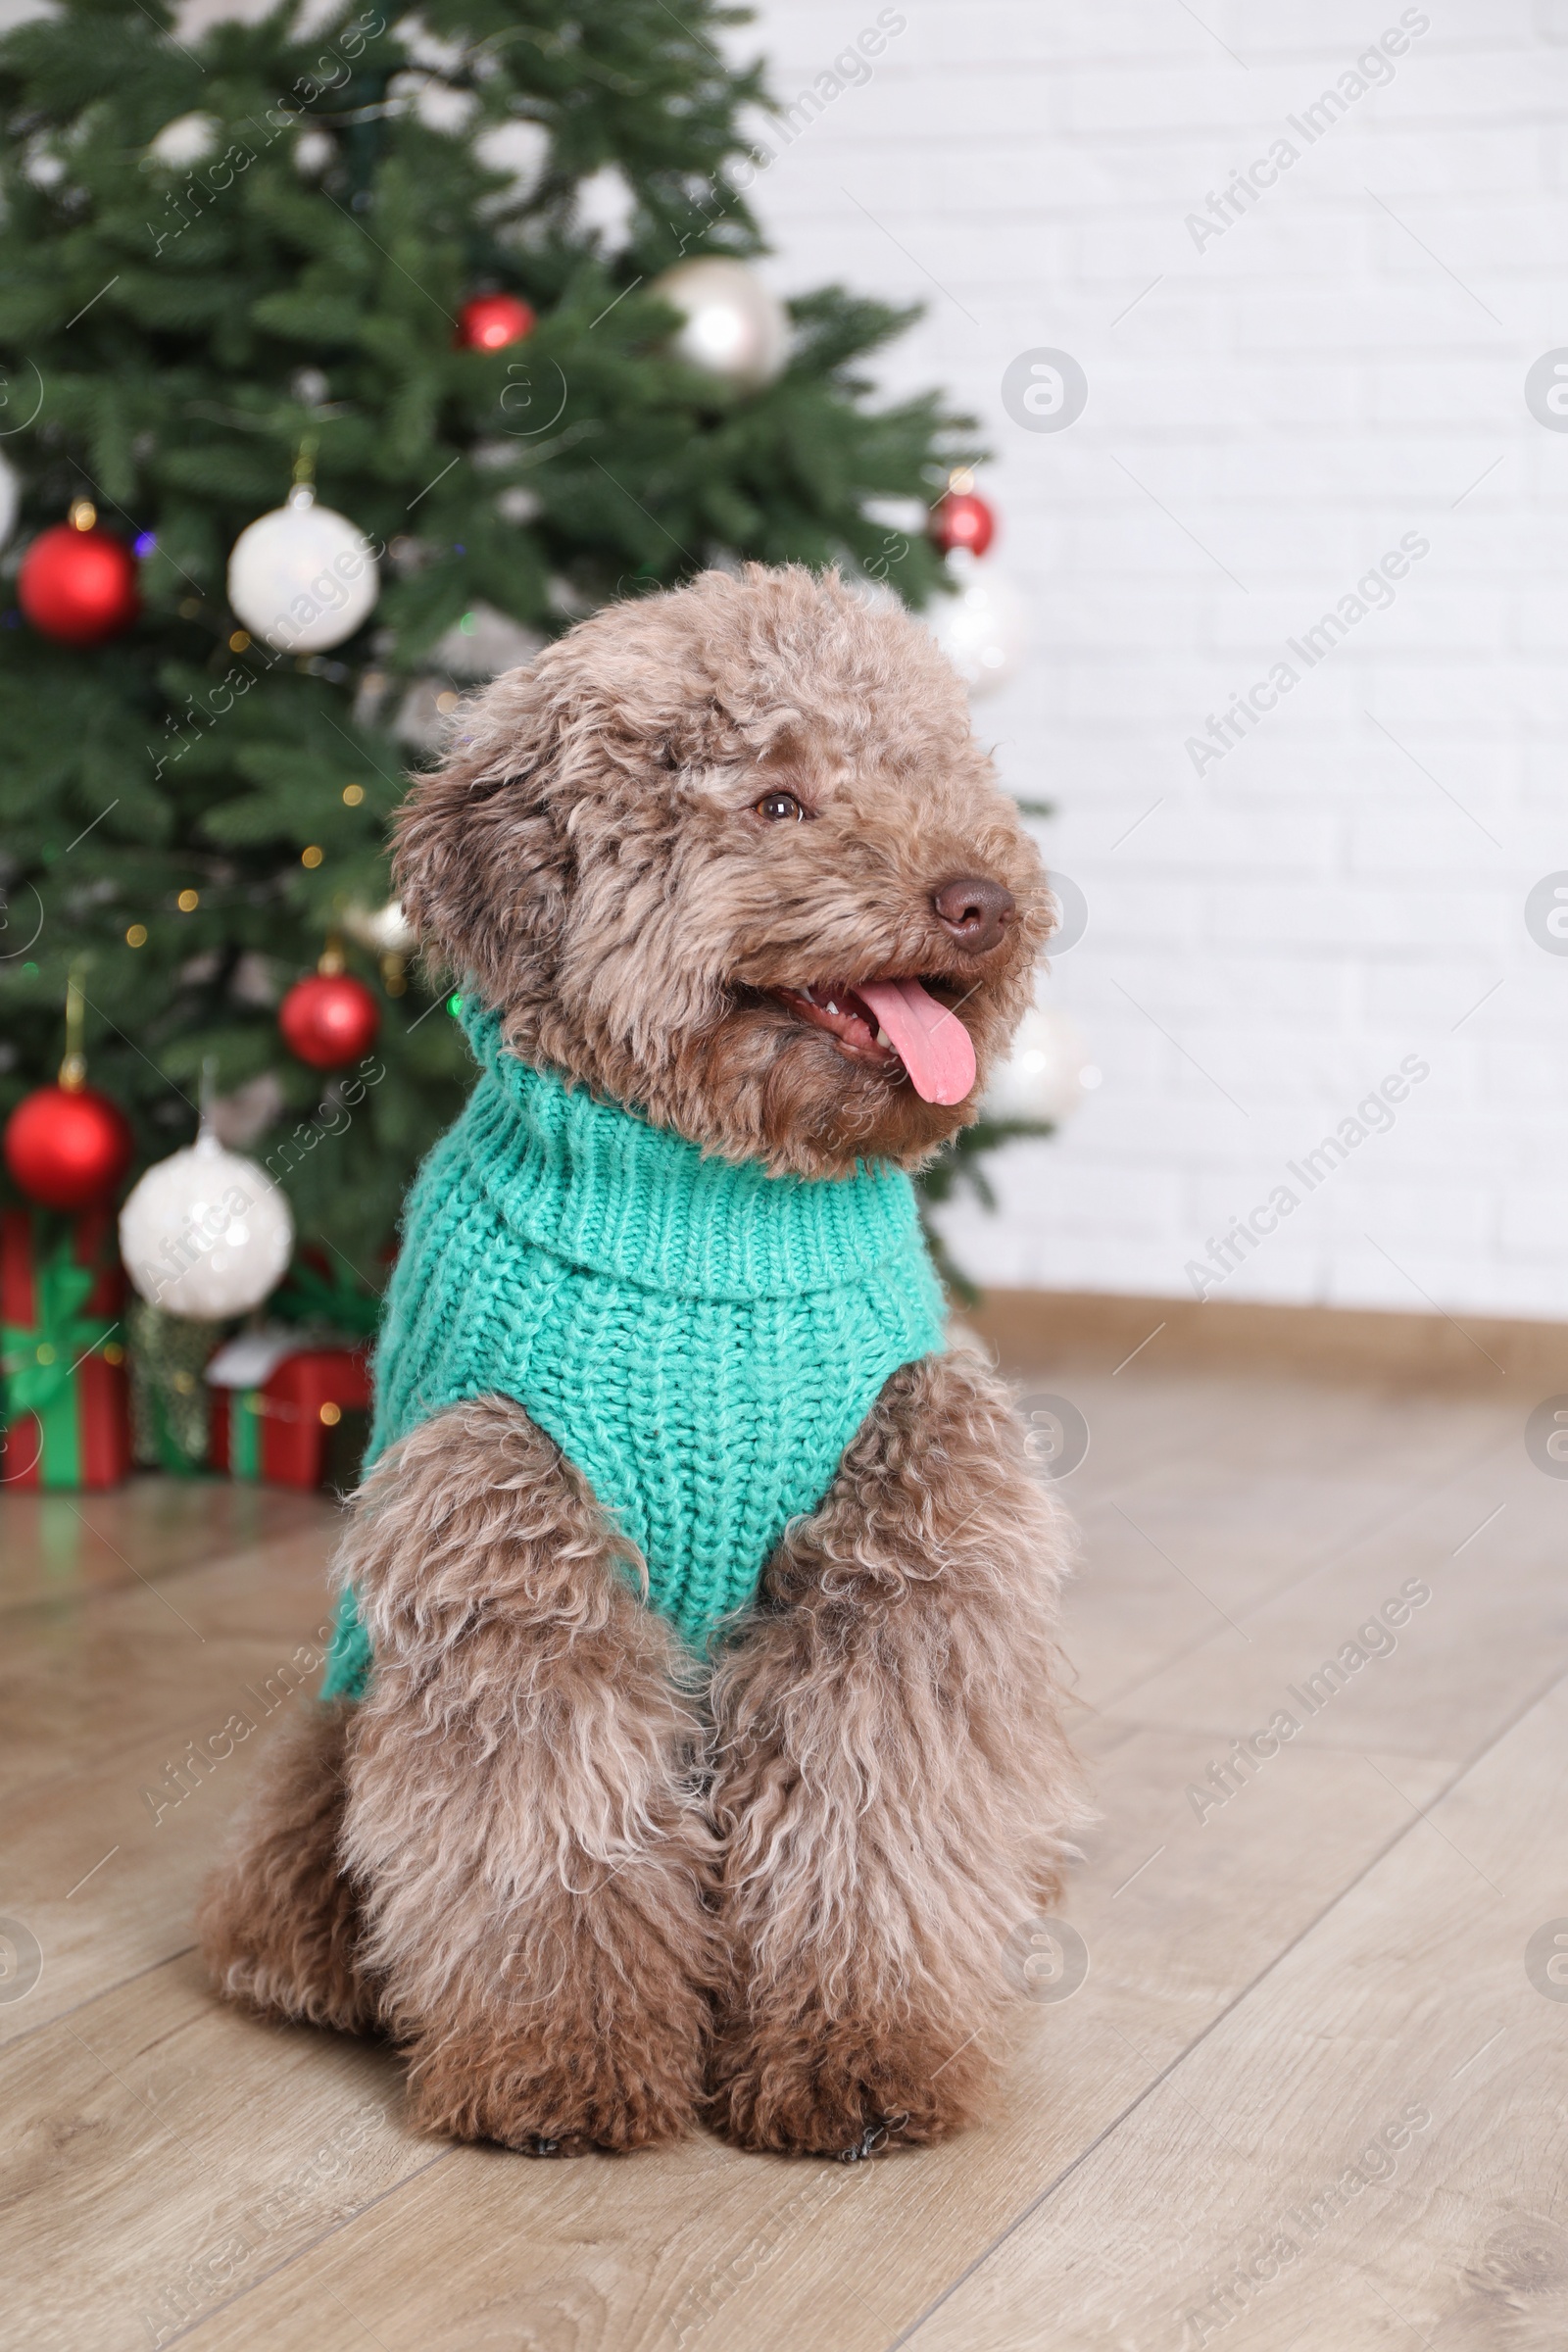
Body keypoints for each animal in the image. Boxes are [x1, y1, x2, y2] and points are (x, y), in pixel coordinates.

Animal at [196, 564, 1086, 2164]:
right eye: (778, 800)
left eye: (937, 773)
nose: (980, 902)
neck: (707, 1219)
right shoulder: (504, 1544)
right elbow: (550, 1833)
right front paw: (563, 2071)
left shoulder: (902, 1558)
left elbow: (870, 1823)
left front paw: (861, 2060)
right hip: (337, 1736)